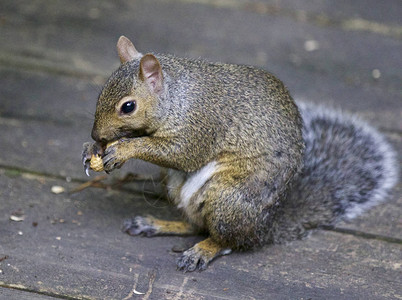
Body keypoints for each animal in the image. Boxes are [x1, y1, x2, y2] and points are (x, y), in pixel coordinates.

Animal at [81, 35, 398, 272]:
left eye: (128, 106)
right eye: (100, 94)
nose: (97, 135)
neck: (177, 97)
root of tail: (265, 228)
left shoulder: (200, 126)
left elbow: (181, 154)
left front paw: (123, 149)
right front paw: (93, 149)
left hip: (228, 199)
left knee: (227, 241)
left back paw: (202, 251)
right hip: (181, 189)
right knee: (195, 225)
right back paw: (154, 224)